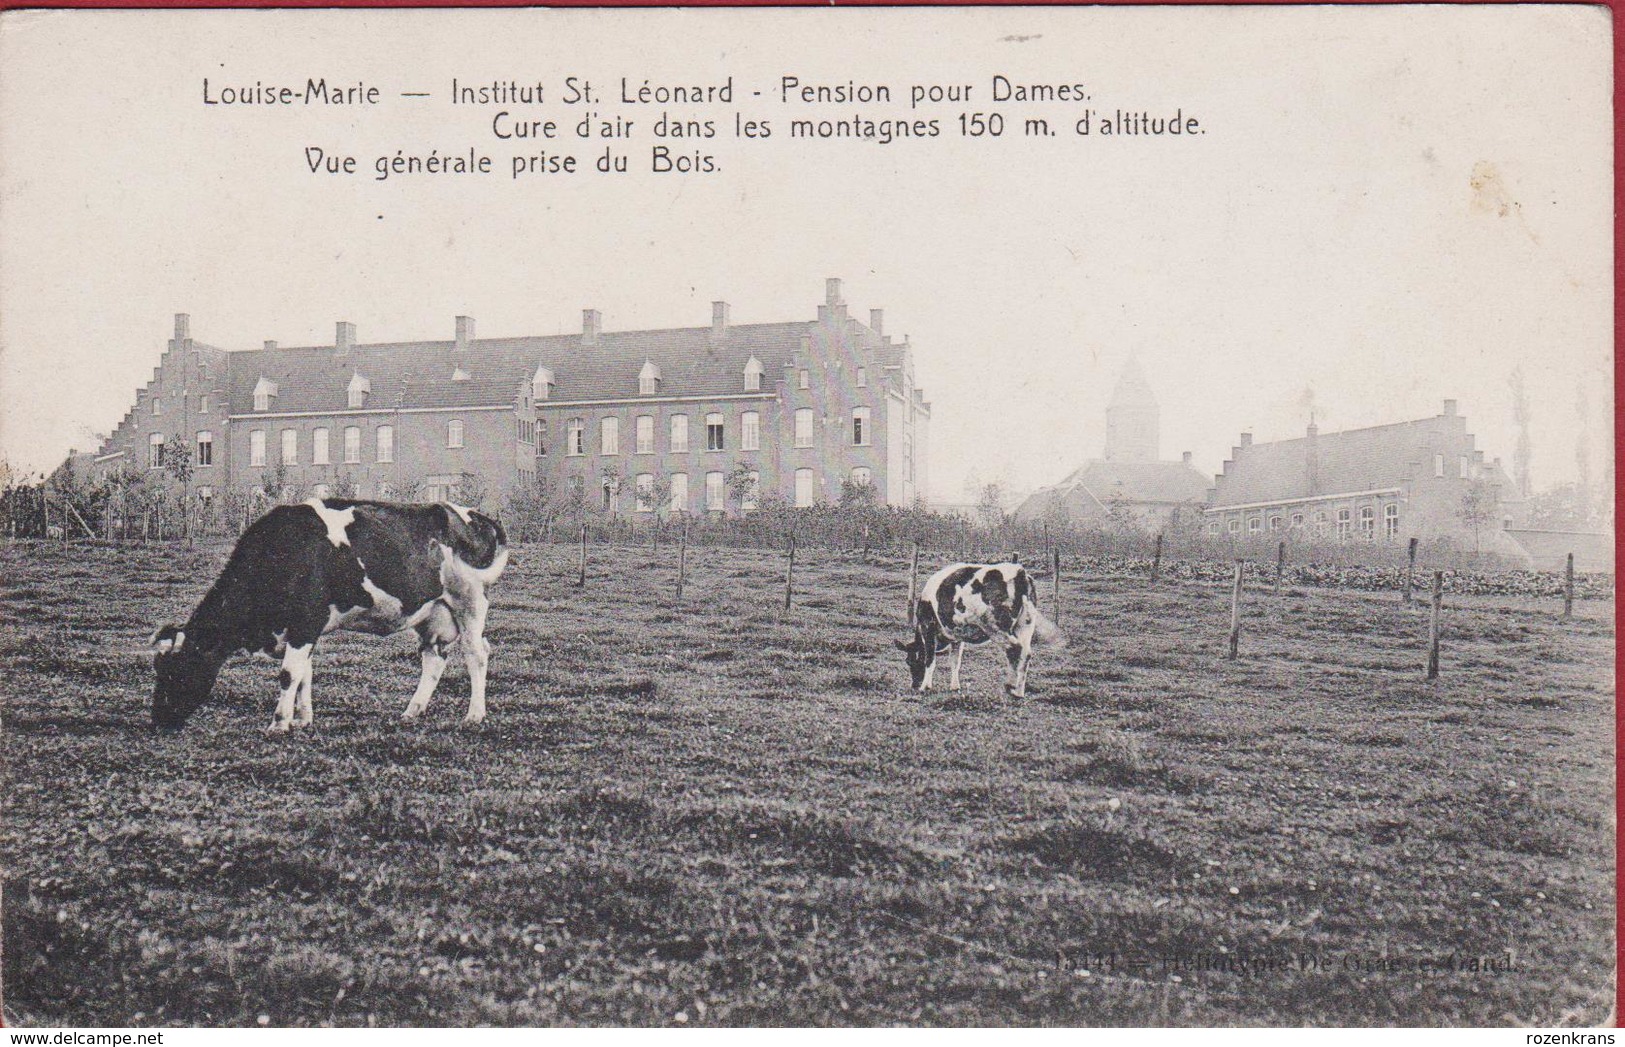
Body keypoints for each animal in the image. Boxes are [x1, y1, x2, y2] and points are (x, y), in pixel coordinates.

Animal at [153, 497, 507, 728]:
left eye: (177, 669)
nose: (158, 719)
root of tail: (469, 513)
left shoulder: (306, 622)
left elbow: (289, 674)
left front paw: (279, 723)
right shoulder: (303, 630)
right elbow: (303, 674)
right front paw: (303, 718)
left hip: (470, 601)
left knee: (477, 653)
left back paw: (474, 715)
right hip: (432, 612)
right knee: (434, 659)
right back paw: (412, 711)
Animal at [890, 559, 1066, 699]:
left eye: (909, 661)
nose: (914, 685)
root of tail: (1019, 571)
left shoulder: (928, 626)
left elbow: (930, 659)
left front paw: (925, 687)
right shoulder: (957, 636)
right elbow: (955, 661)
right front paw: (955, 686)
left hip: (996, 626)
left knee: (1013, 649)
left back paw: (1010, 687)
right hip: (1026, 624)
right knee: (1026, 653)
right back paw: (1019, 692)